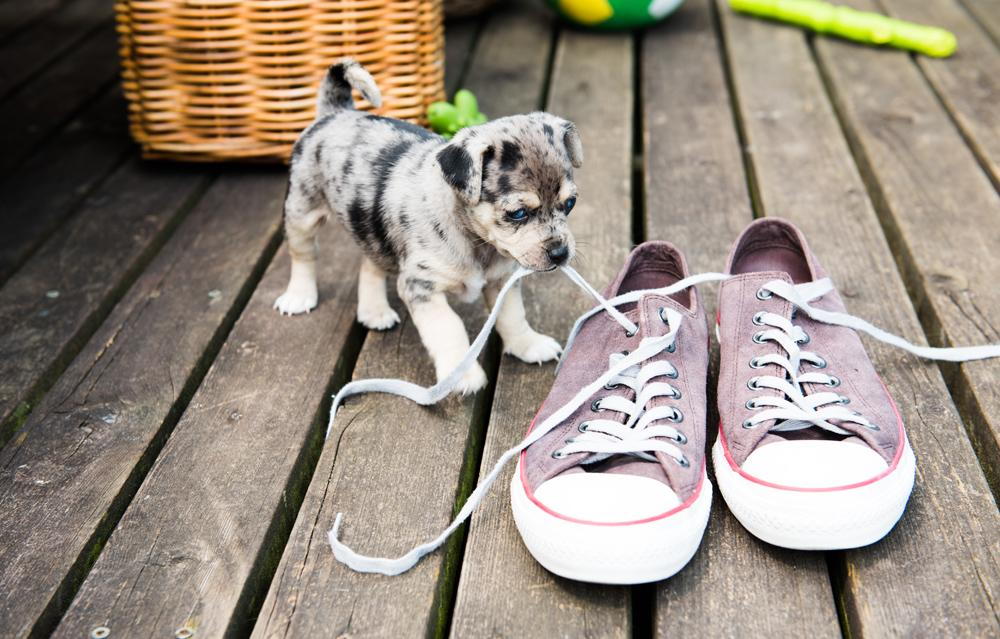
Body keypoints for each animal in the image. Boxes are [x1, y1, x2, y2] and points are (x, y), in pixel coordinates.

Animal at [276, 58, 584, 396]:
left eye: (570, 204)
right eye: (517, 213)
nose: (560, 253)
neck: (477, 242)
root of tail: (336, 112)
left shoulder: (502, 282)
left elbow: (513, 316)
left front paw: (528, 345)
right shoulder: (421, 288)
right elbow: (449, 327)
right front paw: (462, 375)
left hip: (370, 228)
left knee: (369, 264)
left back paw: (374, 310)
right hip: (301, 213)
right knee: (303, 255)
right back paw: (299, 295)